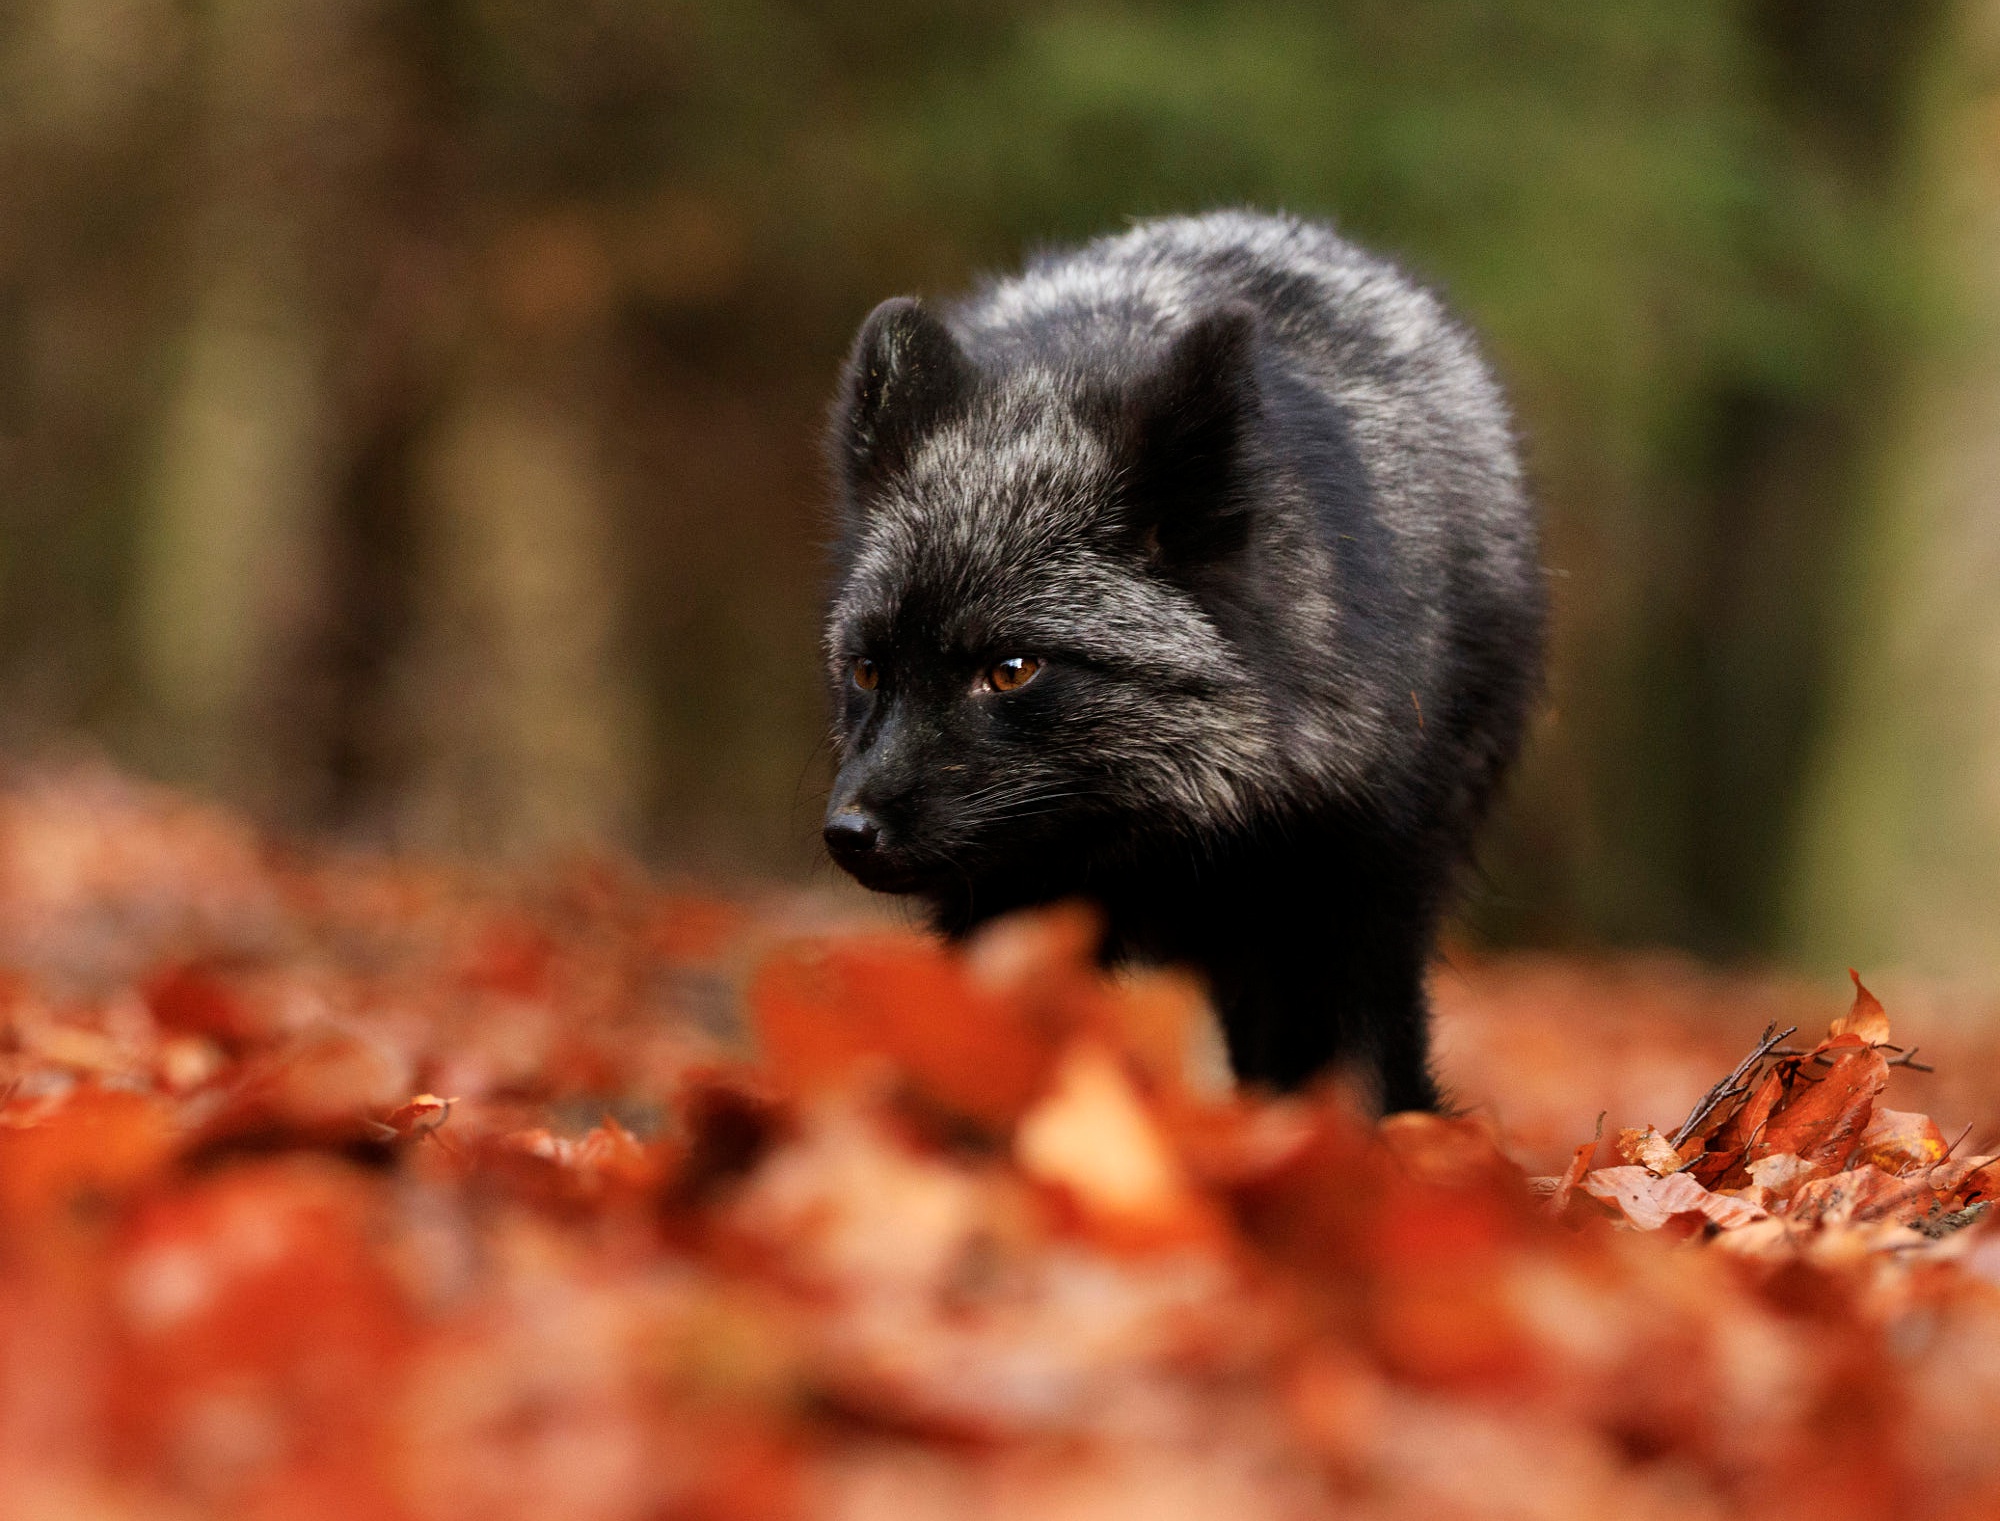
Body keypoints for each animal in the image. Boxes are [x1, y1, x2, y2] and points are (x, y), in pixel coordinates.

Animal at [812, 211, 1544, 1120]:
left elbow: (1366, 1076)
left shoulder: (1361, 886)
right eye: (869, 671)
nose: (848, 833)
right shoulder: (1010, 915)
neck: (1180, 831)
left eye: (1012, 668)